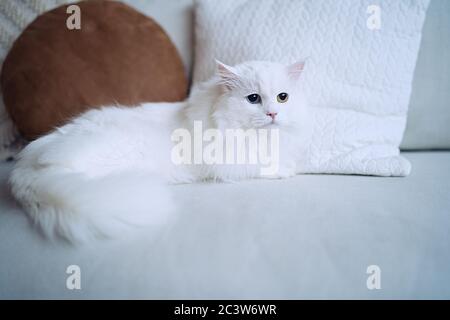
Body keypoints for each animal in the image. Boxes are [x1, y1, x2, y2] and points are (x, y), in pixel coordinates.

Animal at [8, 59, 310, 242]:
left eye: (283, 97)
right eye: (253, 99)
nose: (272, 113)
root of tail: (24, 169)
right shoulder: (230, 163)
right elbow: (263, 166)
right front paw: (286, 170)